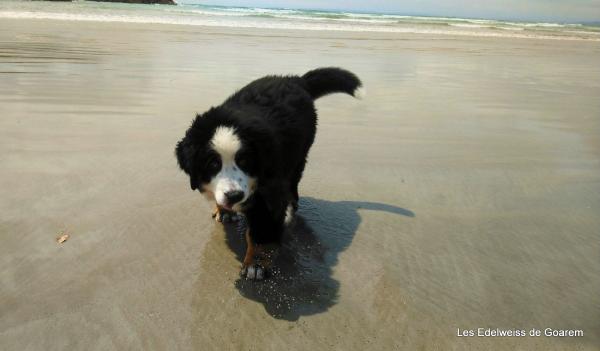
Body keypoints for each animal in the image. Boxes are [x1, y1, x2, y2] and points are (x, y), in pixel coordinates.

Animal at [173, 67, 360, 282]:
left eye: (244, 161)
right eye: (213, 164)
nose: (234, 196)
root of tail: (296, 80)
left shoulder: (269, 191)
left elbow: (261, 234)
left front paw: (255, 266)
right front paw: (224, 211)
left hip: (298, 156)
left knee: (292, 184)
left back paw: (289, 211)